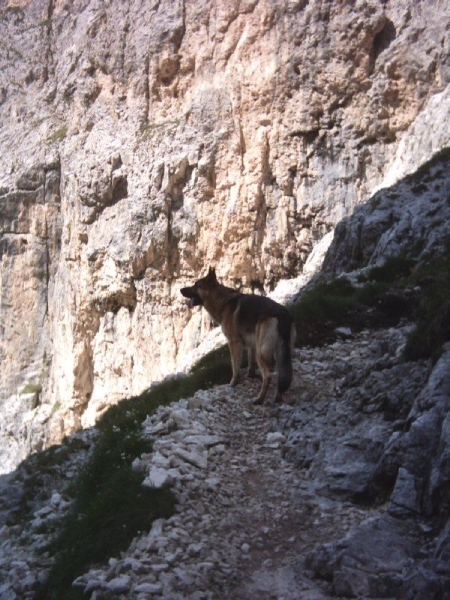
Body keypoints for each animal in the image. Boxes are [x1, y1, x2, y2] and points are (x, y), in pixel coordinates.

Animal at [181, 268, 298, 406]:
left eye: (196, 285)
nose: (181, 290)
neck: (223, 301)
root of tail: (282, 315)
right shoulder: (251, 345)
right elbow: (250, 362)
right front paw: (250, 376)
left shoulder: (234, 343)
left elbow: (235, 366)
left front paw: (233, 383)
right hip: (281, 353)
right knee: (283, 374)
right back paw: (277, 397)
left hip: (262, 352)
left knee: (268, 376)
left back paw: (259, 399)